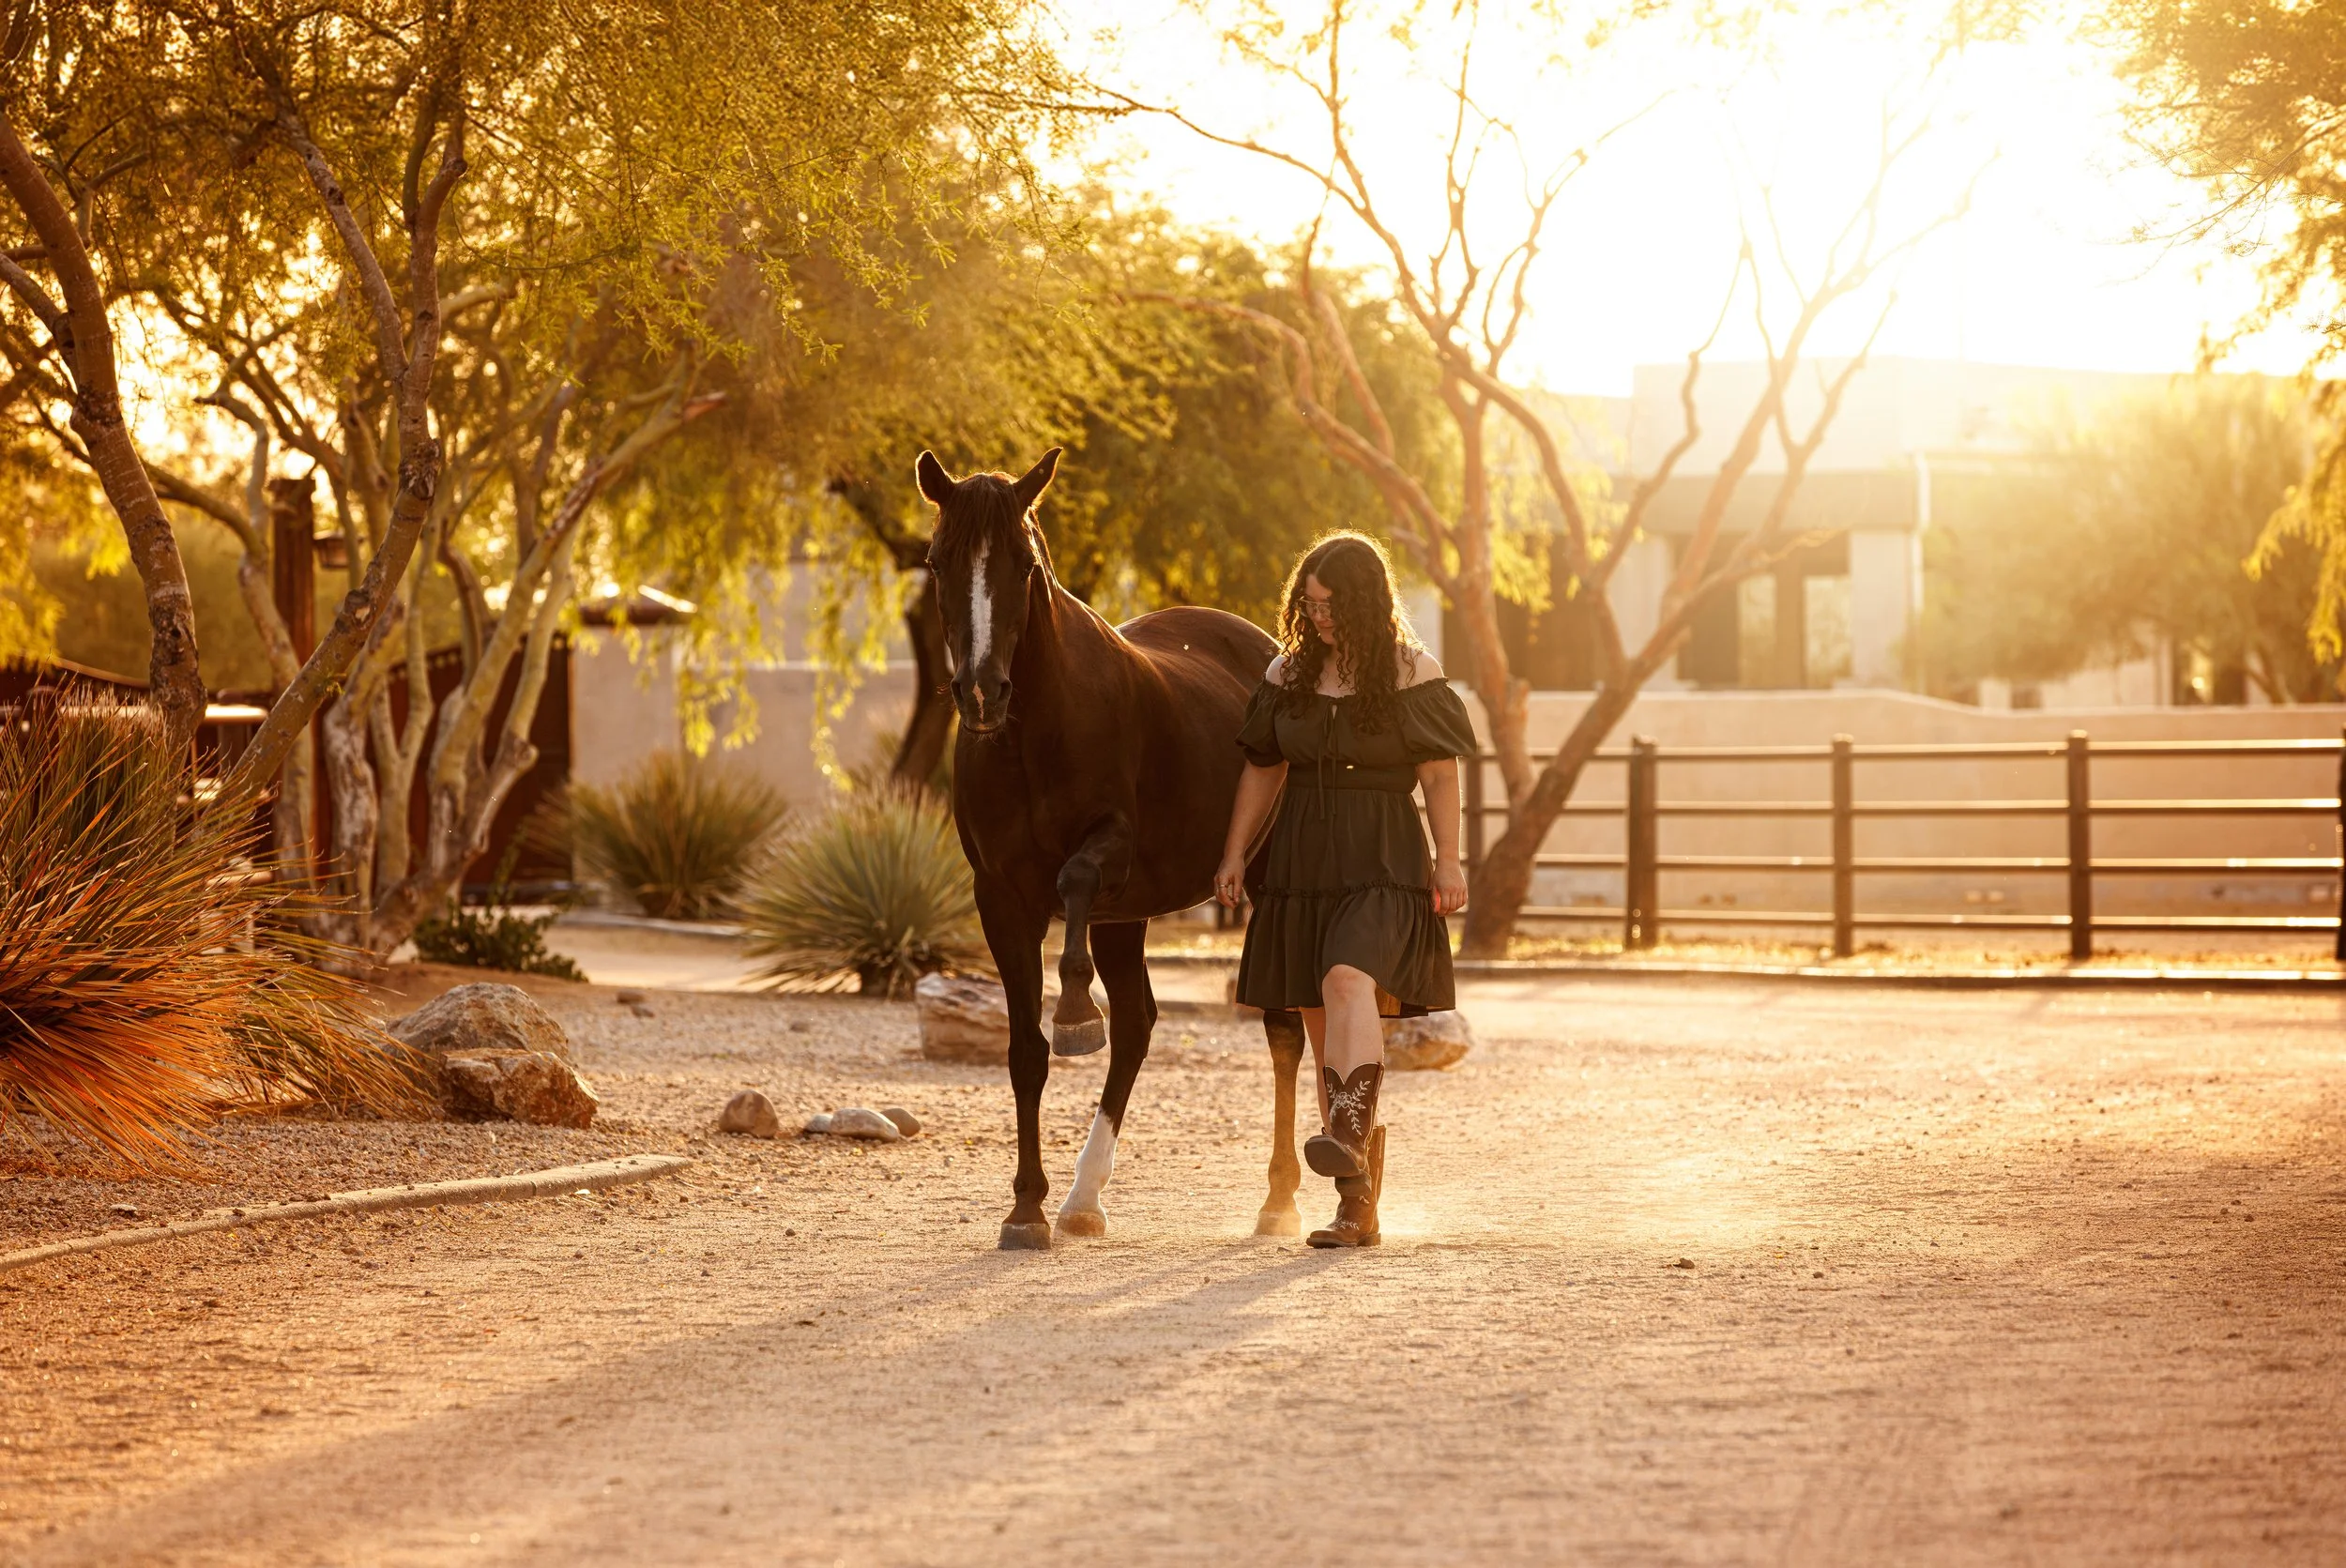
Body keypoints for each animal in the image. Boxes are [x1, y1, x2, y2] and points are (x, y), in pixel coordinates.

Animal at [916, 446, 1310, 1249]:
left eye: (1024, 563)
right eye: (937, 560)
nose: (982, 693)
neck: (1031, 735)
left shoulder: (1110, 856)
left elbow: (1073, 880)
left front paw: (1073, 1008)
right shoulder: (999, 898)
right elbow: (1024, 1052)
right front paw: (1026, 1207)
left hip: (1249, 883)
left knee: (1283, 1029)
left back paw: (1280, 1196)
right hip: (1129, 916)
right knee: (1136, 1027)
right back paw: (1082, 1196)